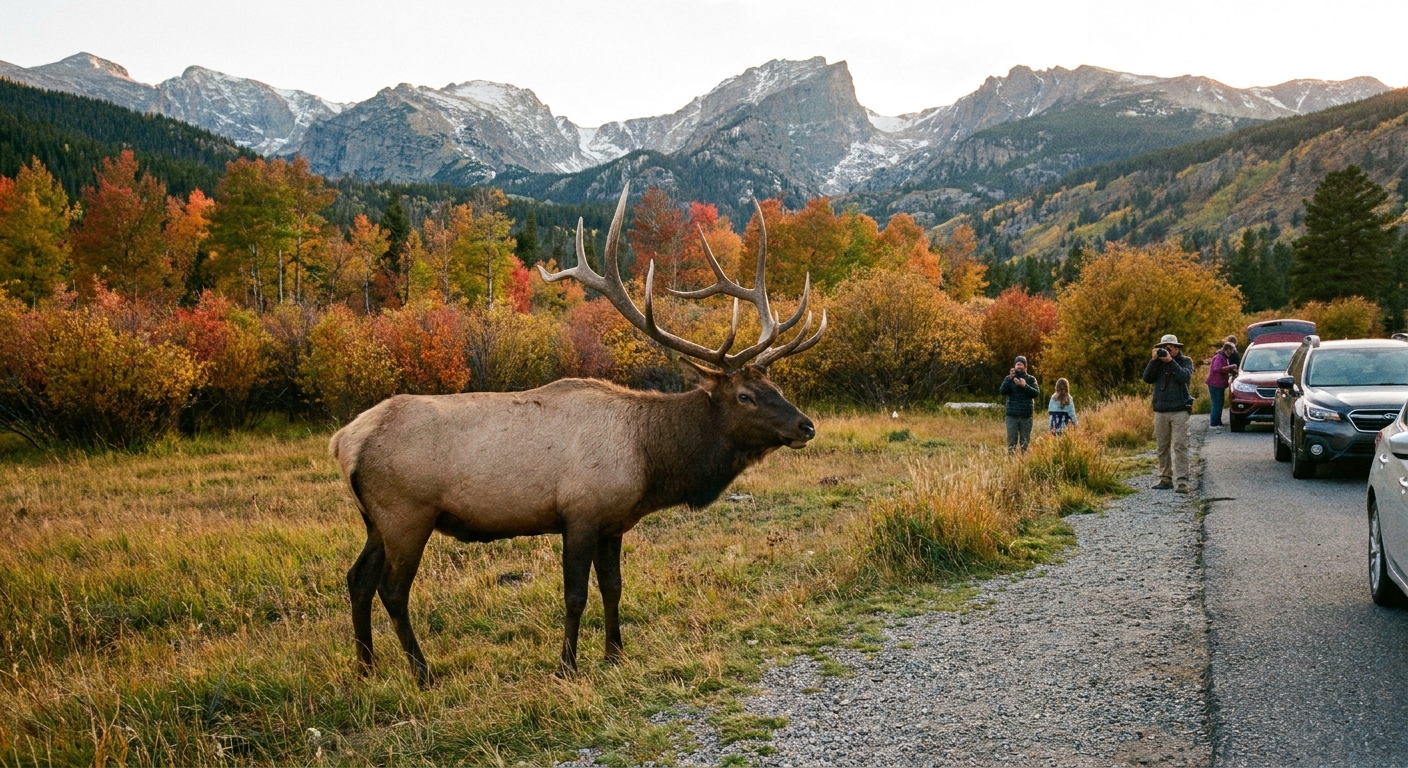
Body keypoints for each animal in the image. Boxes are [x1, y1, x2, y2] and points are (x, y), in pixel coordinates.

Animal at [330, 183, 826, 687]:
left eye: (775, 387)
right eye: (746, 395)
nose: (806, 425)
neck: (649, 460)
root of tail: (344, 441)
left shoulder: (613, 522)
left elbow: (613, 588)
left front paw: (615, 654)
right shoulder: (580, 513)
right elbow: (575, 595)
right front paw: (567, 666)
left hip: (376, 519)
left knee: (357, 579)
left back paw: (366, 666)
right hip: (407, 514)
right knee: (392, 590)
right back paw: (422, 673)